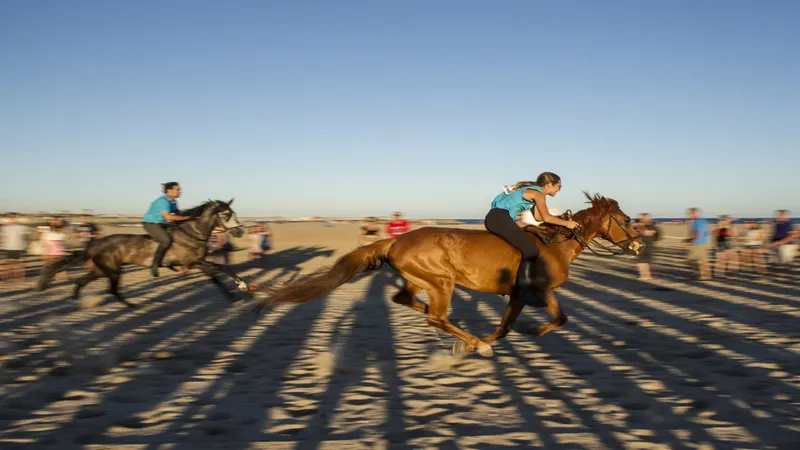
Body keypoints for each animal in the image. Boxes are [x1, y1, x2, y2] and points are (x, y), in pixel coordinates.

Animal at [36, 199, 251, 307]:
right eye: (226, 215)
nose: (240, 231)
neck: (193, 233)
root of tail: (94, 243)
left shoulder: (198, 262)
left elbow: (216, 275)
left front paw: (234, 294)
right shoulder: (193, 262)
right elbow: (222, 267)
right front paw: (242, 286)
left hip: (101, 269)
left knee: (82, 281)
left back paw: (74, 300)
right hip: (113, 270)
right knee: (112, 290)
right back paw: (133, 305)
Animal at [252, 192, 643, 357]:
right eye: (625, 220)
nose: (639, 245)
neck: (557, 243)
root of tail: (395, 241)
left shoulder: (518, 296)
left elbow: (505, 326)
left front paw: (486, 339)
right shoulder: (541, 291)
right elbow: (560, 318)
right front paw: (527, 332)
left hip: (420, 279)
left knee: (405, 299)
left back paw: (465, 337)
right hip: (442, 281)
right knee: (437, 316)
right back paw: (468, 339)